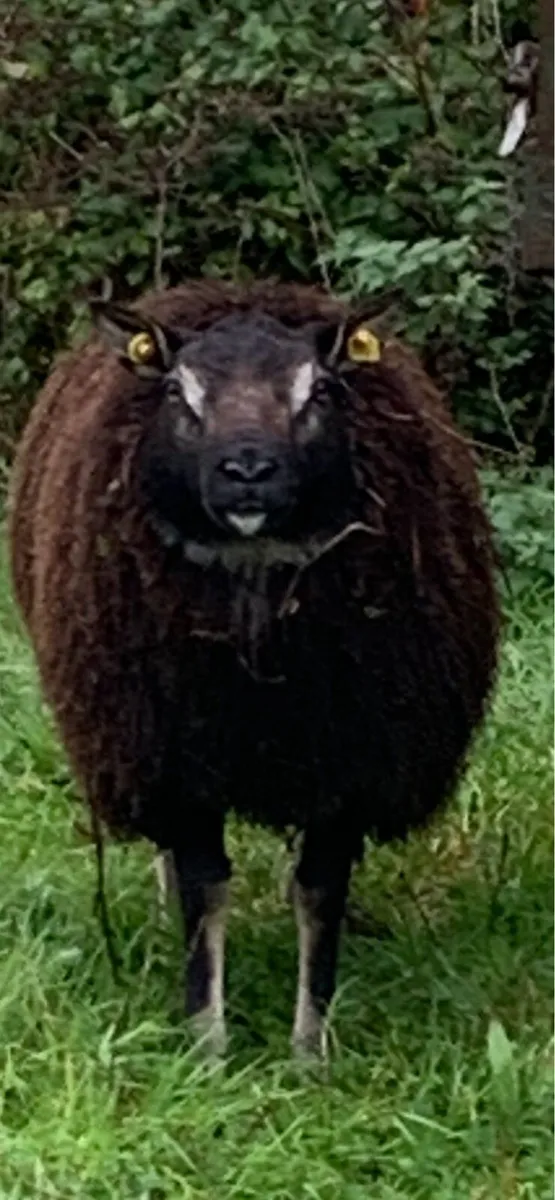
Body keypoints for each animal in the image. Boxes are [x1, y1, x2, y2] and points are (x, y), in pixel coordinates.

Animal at [7, 279, 500, 1060]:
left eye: (318, 390)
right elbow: (205, 891)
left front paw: (309, 1051)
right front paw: (207, 1045)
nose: (246, 471)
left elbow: (319, 894)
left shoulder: (349, 763)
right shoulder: (178, 763)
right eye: (178, 392)